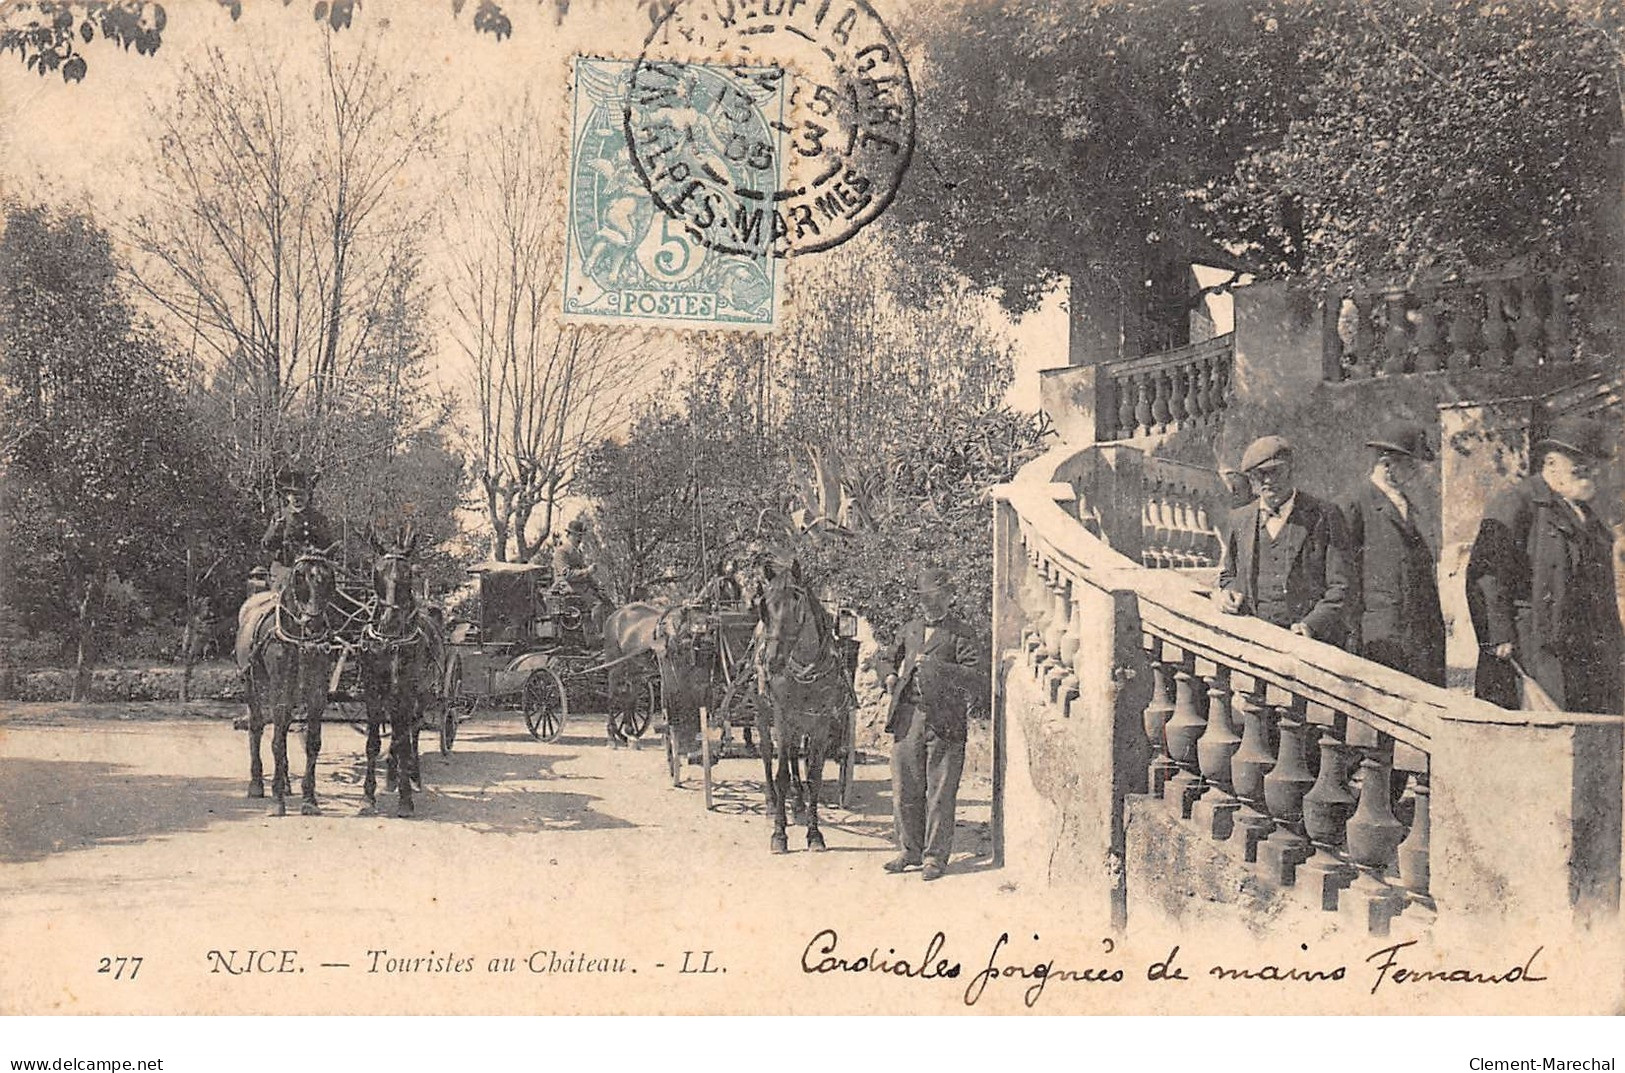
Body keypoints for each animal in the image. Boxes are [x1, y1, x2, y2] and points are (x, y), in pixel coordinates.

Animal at [237, 552, 338, 812]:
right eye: (300, 578)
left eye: (327, 580)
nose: (314, 623)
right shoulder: (278, 685)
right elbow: (277, 741)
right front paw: (277, 798)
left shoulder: (317, 691)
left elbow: (312, 741)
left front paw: (309, 798)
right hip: (251, 683)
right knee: (257, 726)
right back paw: (257, 784)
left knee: (282, 725)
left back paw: (285, 783)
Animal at [357, 529, 445, 822]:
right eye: (377, 572)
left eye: (407, 575)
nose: (389, 622)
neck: (391, 641)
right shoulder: (372, 691)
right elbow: (373, 743)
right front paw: (368, 796)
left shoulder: (406, 692)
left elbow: (404, 740)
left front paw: (405, 800)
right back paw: (393, 774)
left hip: (423, 694)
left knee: (412, 730)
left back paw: (412, 774)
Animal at [754, 565, 858, 851]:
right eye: (764, 606)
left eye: (796, 604)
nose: (772, 661)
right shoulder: (781, 717)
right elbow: (780, 774)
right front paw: (779, 833)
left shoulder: (820, 721)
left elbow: (814, 775)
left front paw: (814, 833)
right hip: (763, 713)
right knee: (767, 754)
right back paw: (771, 804)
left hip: (801, 723)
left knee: (793, 754)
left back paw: (798, 803)